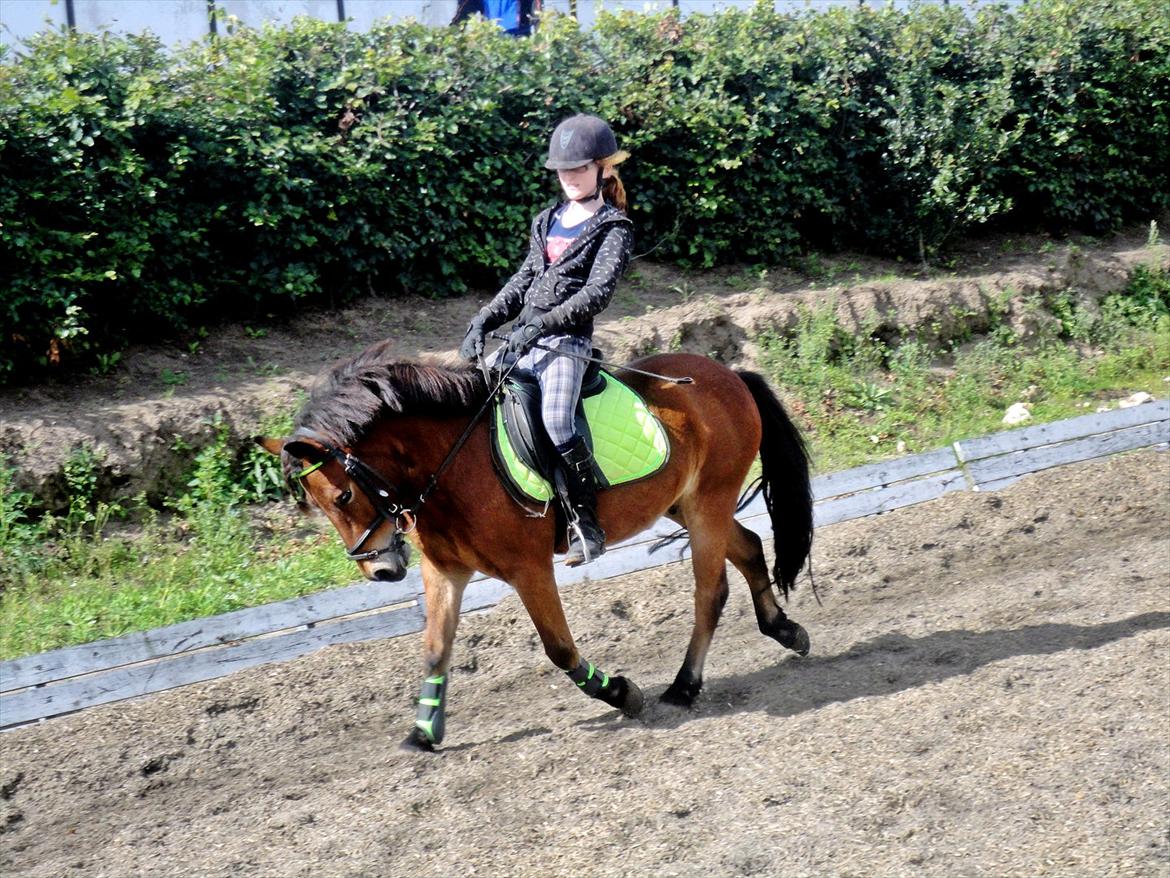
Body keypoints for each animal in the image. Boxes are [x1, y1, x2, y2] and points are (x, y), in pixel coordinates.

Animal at [259, 341, 809, 749]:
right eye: (321, 506)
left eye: (343, 495)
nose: (381, 571)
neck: (451, 463)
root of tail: (729, 373)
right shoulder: (445, 571)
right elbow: (435, 648)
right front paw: (422, 733)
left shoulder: (529, 569)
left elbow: (559, 648)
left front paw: (621, 694)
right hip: (687, 505)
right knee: (749, 546)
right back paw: (785, 630)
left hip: (708, 503)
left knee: (709, 592)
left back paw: (684, 686)